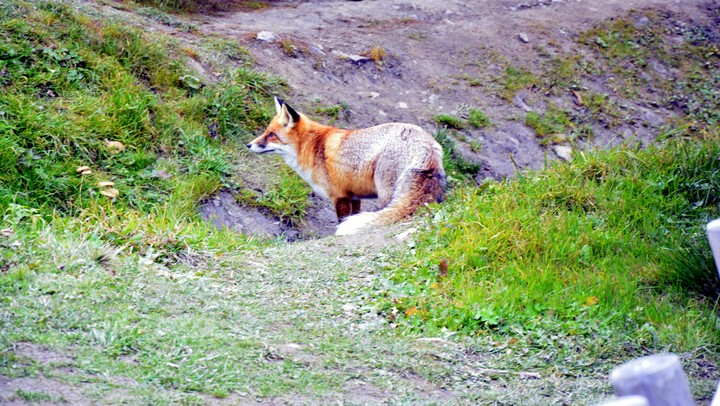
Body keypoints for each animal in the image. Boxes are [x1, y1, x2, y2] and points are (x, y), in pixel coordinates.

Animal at [247, 97, 446, 236]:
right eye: (266, 131)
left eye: (272, 135)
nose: (249, 145)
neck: (315, 146)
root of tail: (424, 143)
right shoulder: (355, 196)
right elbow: (354, 214)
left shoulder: (339, 195)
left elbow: (342, 220)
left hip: (386, 192)